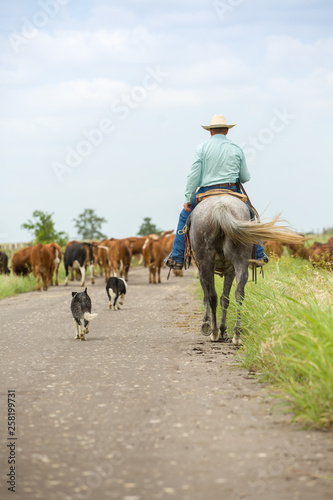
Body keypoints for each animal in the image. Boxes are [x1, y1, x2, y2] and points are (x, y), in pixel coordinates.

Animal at [187, 193, 304, 346]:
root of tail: (220, 206)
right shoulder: (230, 270)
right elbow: (225, 298)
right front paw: (223, 329)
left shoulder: (203, 270)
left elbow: (208, 296)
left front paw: (207, 325)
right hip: (240, 261)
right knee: (239, 294)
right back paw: (236, 335)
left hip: (207, 263)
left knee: (212, 296)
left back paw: (214, 332)